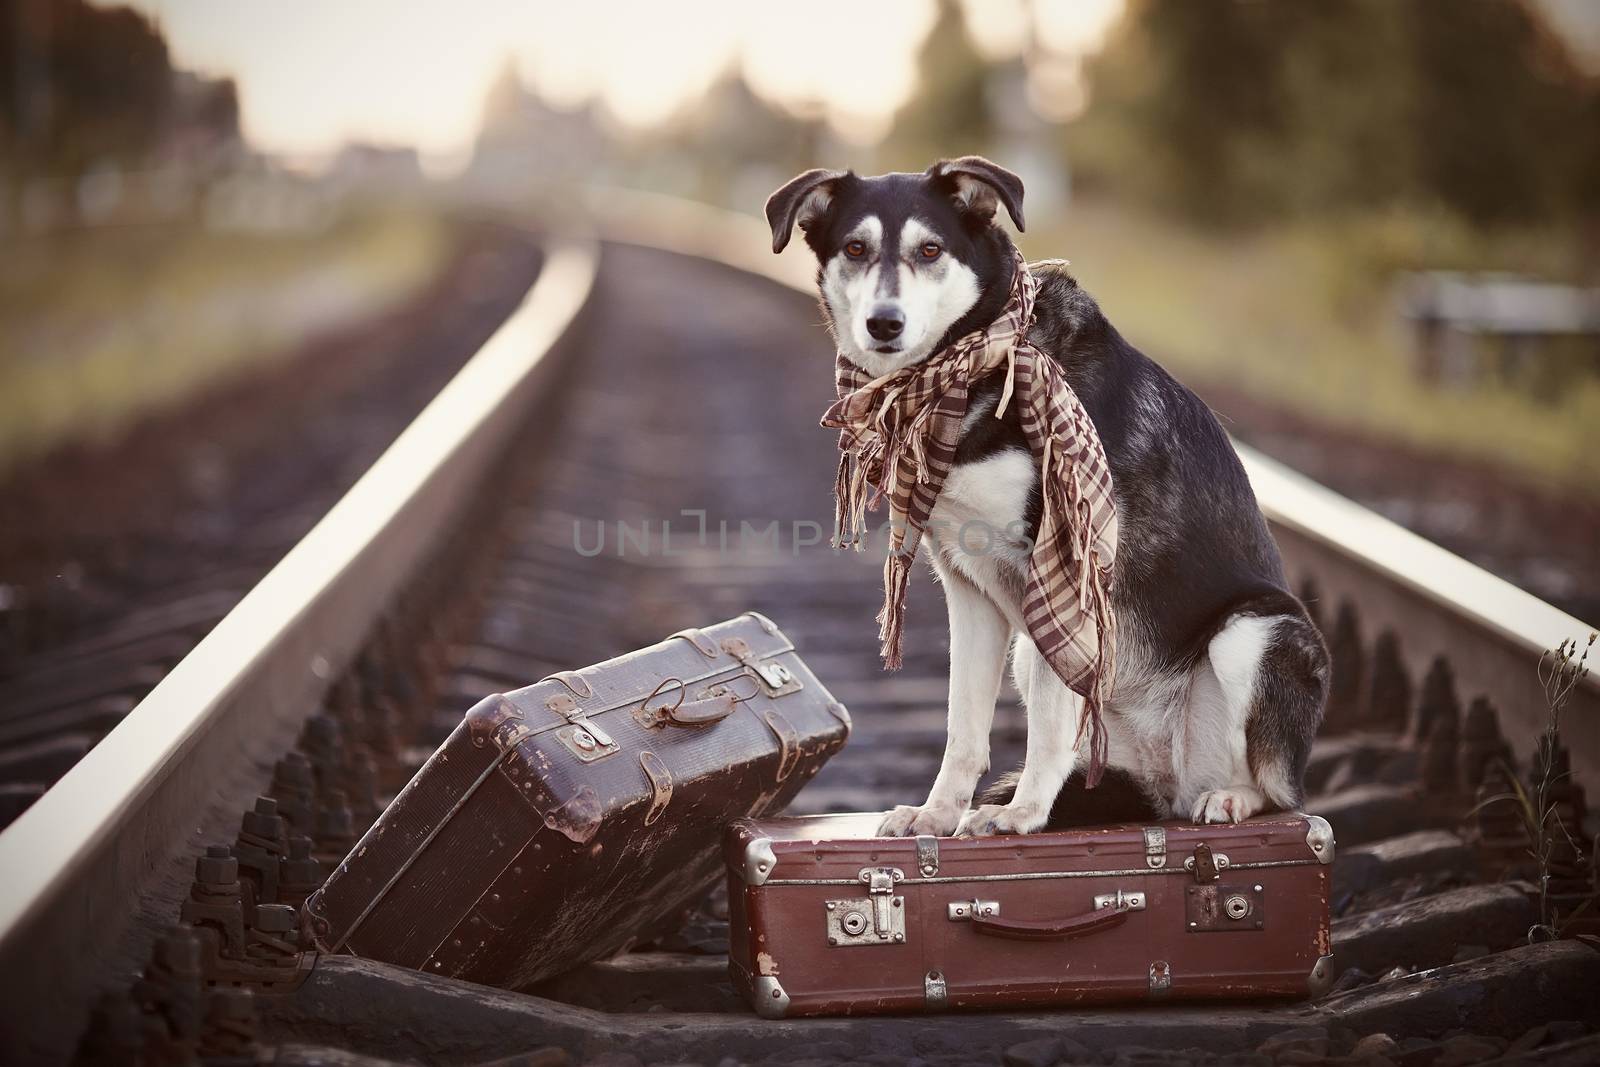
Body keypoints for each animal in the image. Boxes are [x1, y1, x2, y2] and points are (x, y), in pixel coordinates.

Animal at [768, 158, 1331, 838]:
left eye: (930, 250)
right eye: (855, 248)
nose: (884, 323)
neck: (970, 366)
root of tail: (1167, 782)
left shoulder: (1061, 568)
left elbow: (1048, 720)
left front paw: (1022, 815)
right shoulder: (967, 585)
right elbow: (963, 725)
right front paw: (938, 814)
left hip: (1257, 632)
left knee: (1280, 789)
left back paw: (1230, 800)